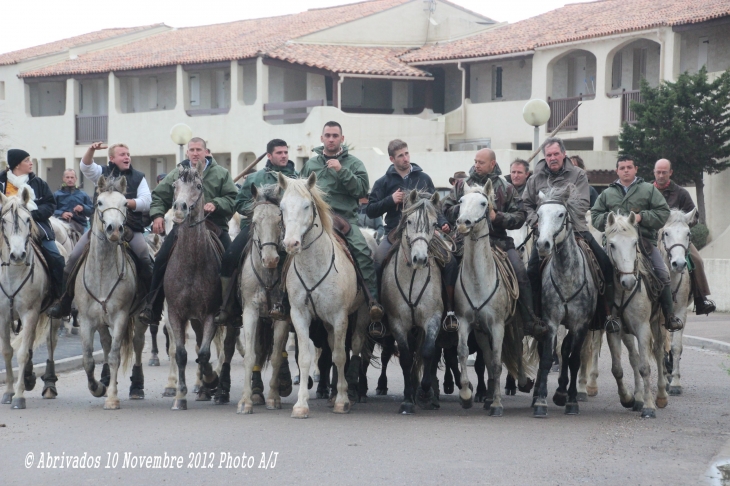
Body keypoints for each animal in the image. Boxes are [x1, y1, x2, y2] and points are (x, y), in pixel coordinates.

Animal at [74, 177, 141, 408]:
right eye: (100, 202)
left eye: (125, 203)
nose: (114, 230)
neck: (103, 273)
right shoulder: (85, 320)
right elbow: (87, 359)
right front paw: (97, 388)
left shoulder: (121, 317)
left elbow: (114, 357)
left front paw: (112, 397)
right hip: (101, 323)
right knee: (104, 345)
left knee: (137, 347)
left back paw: (136, 387)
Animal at [278, 172, 370, 418]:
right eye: (282, 207)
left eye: (306, 206)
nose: (291, 244)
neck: (314, 266)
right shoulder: (299, 315)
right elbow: (304, 358)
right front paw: (301, 404)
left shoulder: (340, 317)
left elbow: (339, 355)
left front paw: (342, 400)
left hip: (360, 315)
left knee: (354, 347)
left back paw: (349, 390)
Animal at [604, 213, 664, 418]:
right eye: (612, 244)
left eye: (634, 243)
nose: (629, 281)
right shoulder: (614, 330)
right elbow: (617, 368)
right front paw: (628, 398)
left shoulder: (643, 327)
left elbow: (645, 367)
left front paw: (649, 406)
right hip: (626, 332)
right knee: (633, 357)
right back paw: (637, 398)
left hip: (658, 324)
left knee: (658, 353)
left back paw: (661, 396)